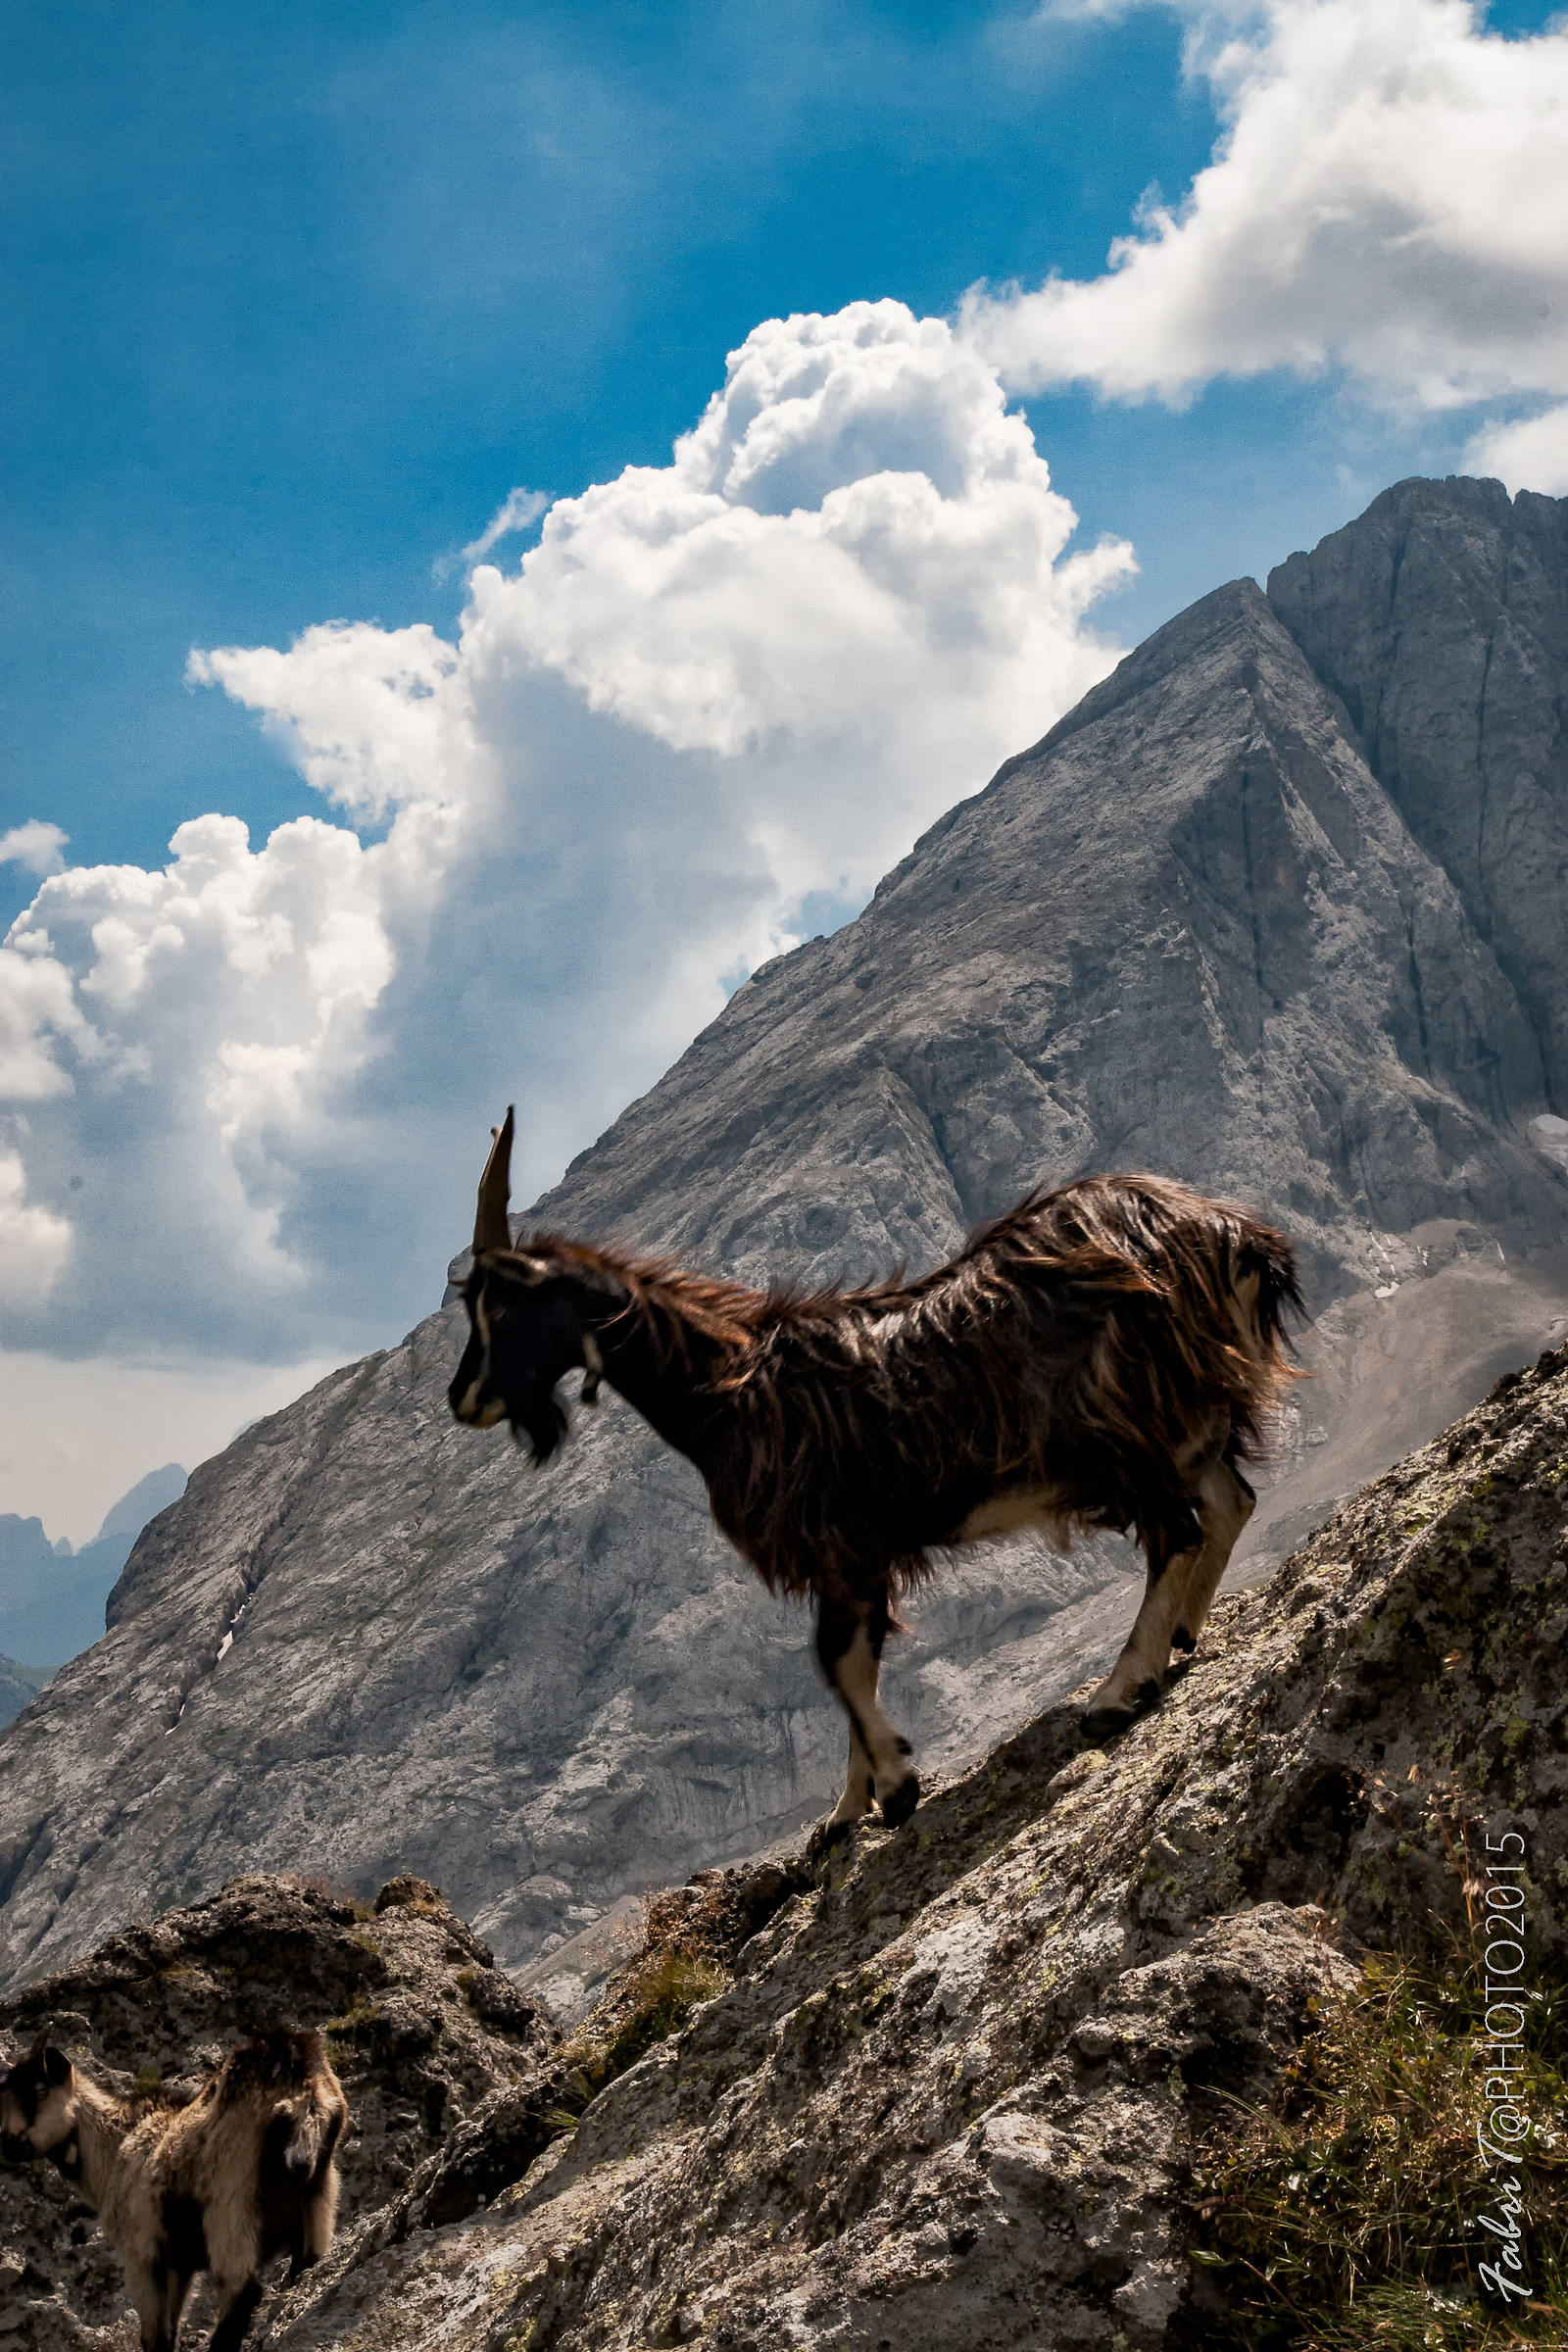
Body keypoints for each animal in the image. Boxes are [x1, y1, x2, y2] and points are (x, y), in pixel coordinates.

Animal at [0, 2027, 347, 2352]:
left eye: (40, 2090)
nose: (9, 2144)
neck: (115, 2149)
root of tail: (301, 2092)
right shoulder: (180, 2264)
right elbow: (172, 2329)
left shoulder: (141, 2251)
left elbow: (154, 2335)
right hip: (319, 2190)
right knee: (307, 2261)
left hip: (229, 2202)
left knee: (242, 2289)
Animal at [449, 1109, 1300, 1836]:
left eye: (498, 1306)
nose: (463, 1399)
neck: (729, 1389)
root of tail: (1222, 1232)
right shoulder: (852, 1560)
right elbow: (854, 1662)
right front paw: (844, 1812)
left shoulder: (841, 1546)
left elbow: (837, 1666)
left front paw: (892, 1787)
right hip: (1188, 1417)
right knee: (1230, 1501)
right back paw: (1183, 1637)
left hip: (1124, 1426)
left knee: (1177, 1530)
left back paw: (1120, 1690)